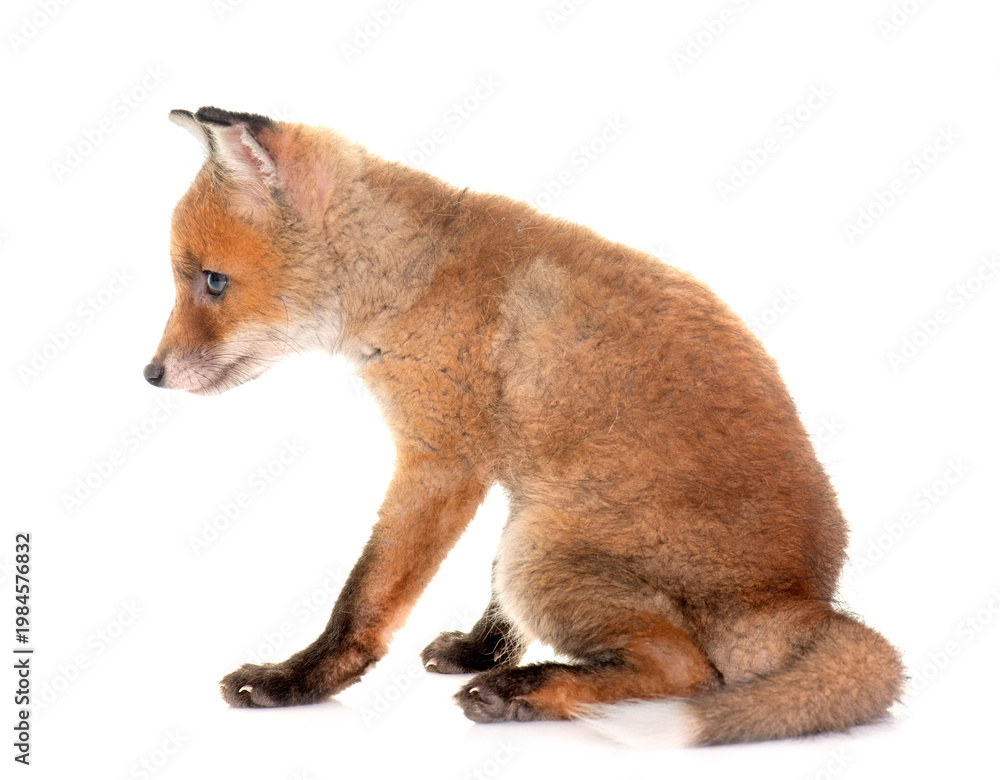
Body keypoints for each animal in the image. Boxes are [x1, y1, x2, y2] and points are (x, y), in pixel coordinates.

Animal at [143, 106, 904, 747]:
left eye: (211, 281)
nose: (150, 375)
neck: (413, 280)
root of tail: (806, 601)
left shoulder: (440, 461)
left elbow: (364, 600)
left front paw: (296, 682)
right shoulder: (509, 477)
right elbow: (490, 606)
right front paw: (480, 649)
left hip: (540, 551)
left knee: (689, 671)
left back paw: (526, 693)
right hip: (537, 528)